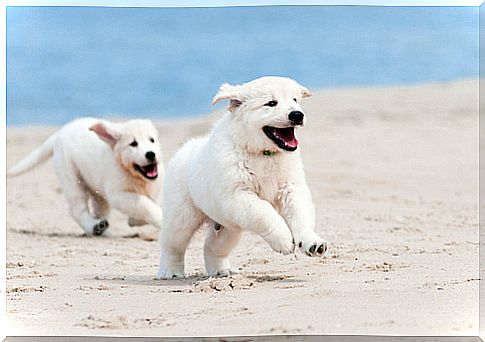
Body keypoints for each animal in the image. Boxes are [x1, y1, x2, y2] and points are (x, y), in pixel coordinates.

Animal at [7, 117, 164, 235]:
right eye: (133, 144)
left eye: (152, 140)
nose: (151, 154)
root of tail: (60, 133)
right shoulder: (118, 193)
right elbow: (145, 205)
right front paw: (159, 218)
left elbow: (151, 202)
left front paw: (134, 220)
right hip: (70, 176)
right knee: (77, 209)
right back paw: (94, 227)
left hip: (97, 190)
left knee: (99, 210)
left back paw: (102, 229)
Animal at [157, 76, 328, 280]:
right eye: (271, 103)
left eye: (295, 100)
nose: (297, 115)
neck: (263, 154)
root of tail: (183, 149)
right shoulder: (237, 195)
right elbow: (264, 212)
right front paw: (284, 240)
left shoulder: (291, 187)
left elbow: (300, 213)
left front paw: (312, 242)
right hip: (182, 215)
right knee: (172, 243)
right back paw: (171, 271)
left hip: (229, 226)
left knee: (212, 246)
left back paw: (221, 271)